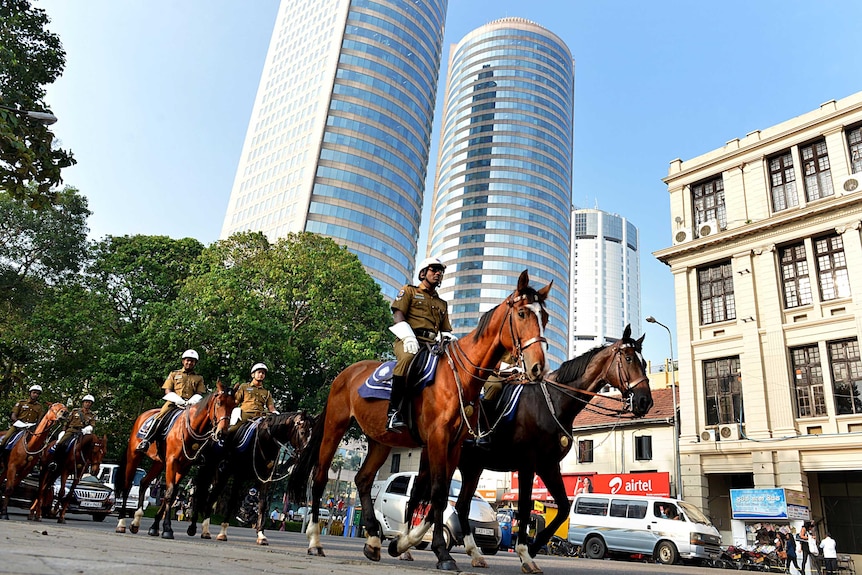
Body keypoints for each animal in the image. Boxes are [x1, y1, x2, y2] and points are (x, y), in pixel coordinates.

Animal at [116, 382, 236, 540]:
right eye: (219, 403)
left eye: (233, 405)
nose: (222, 433)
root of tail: (143, 415)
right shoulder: (172, 462)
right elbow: (170, 492)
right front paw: (167, 529)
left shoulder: (183, 466)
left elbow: (172, 494)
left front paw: (156, 527)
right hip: (134, 455)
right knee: (127, 484)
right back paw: (122, 522)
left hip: (159, 463)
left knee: (144, 482)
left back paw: (136, 522)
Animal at [187, 412, 316, 548]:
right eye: (303, 432)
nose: (308, 455)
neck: (265, 440)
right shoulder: (239, 475)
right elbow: (232, 502)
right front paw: (223, 532)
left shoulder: (265, 479)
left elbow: (262, 505)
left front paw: (261, 535)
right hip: (209, 468)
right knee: (202, 493)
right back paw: (194, 527)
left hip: (220, 475)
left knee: (212, 496)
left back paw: (205, 529)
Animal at [286, 272, 552, 572]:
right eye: (521, 313)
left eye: (545, 317)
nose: (538, 368)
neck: (459, 377)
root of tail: (345, 373)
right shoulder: (437, 439)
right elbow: (436, 493)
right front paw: (441, 552)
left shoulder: (454, 445)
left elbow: (439, 493)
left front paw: (402, 543)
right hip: (335, 426)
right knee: (319, 477)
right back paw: (315, 541)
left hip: (380, 441)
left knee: (363, 480)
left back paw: (373, 541)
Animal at [448, 326, 652, 572]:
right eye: (629, 358)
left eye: (644, 362)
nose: (645, 401)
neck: (553, 402)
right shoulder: (527, 464)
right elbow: (525, 507)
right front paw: (525, 553)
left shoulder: (548, 466)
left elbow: (563, 508)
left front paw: (534, 548)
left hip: (472, 467)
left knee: (460, 504)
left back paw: (473, 552)